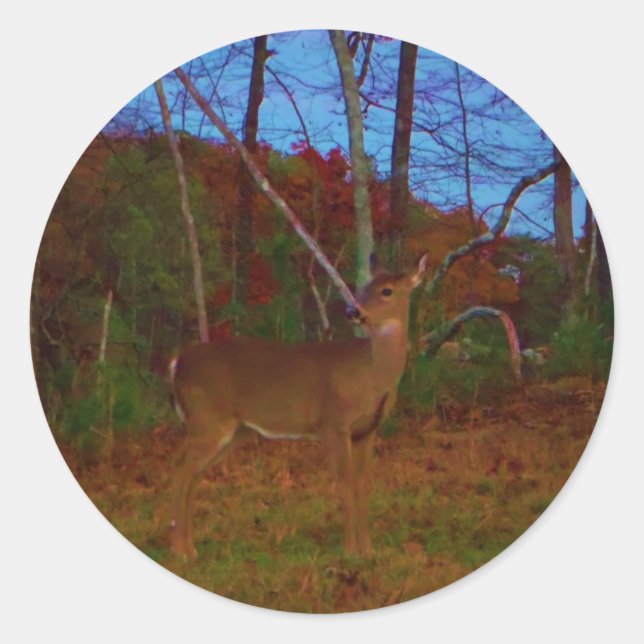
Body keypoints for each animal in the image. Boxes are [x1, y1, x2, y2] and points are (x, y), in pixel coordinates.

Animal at [167, 252, 428, 559]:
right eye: (363, 288)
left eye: (387, 291)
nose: (353, 311)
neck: (373, 374)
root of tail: (177, 363)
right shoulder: (334, 423)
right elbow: (344, 482)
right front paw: (351, 550)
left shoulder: (367, 430)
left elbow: (361, 484)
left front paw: (368, 549)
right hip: (208, 419)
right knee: (181, 469)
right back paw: (180, 551)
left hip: (232, 430)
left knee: (192, 473)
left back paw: (190, 547)